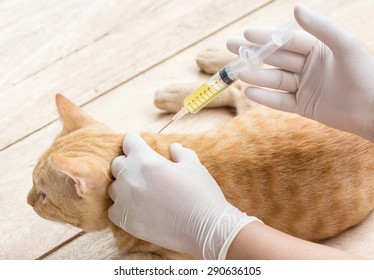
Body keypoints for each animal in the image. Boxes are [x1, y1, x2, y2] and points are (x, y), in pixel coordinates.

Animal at [26, 47, 374, 260]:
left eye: (43, 195)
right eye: (33, 187)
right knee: (241, 86)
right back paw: (195, 76)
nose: (28, 201)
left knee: (243, 84)